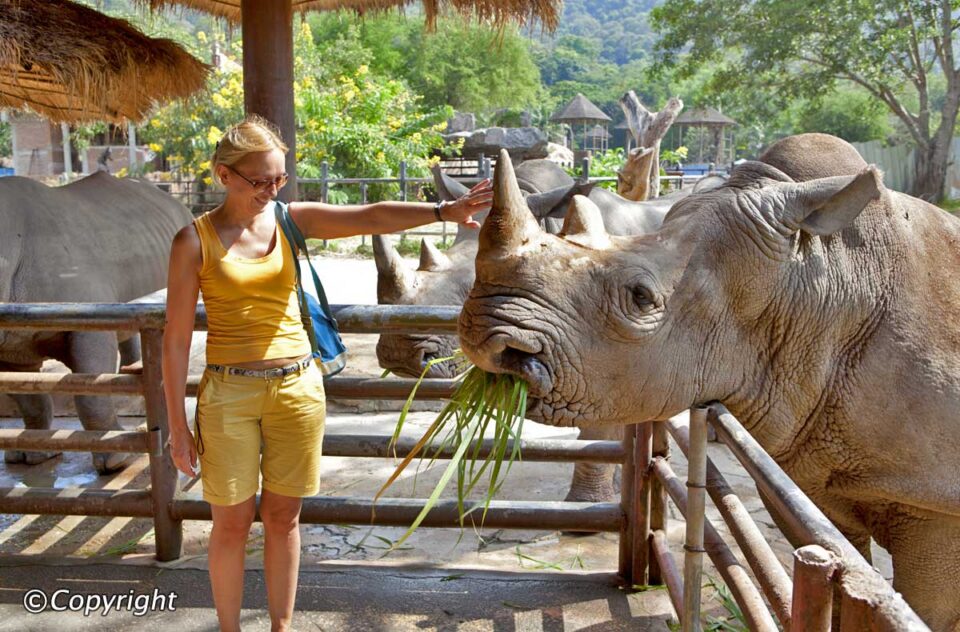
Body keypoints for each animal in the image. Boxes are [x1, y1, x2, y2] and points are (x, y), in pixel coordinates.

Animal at [0, 172, 192, 473]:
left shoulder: (88, 319)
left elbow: (90, 391)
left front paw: (115, 461)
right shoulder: (13, 338)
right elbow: (26, 393)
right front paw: (31, 454)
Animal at [458, 136, 960, 629]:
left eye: (641, 297)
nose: (487, 342)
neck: (813, 283)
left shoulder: (935, 503)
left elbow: (928, 607)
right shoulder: (802, 479)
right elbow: (840, 573)